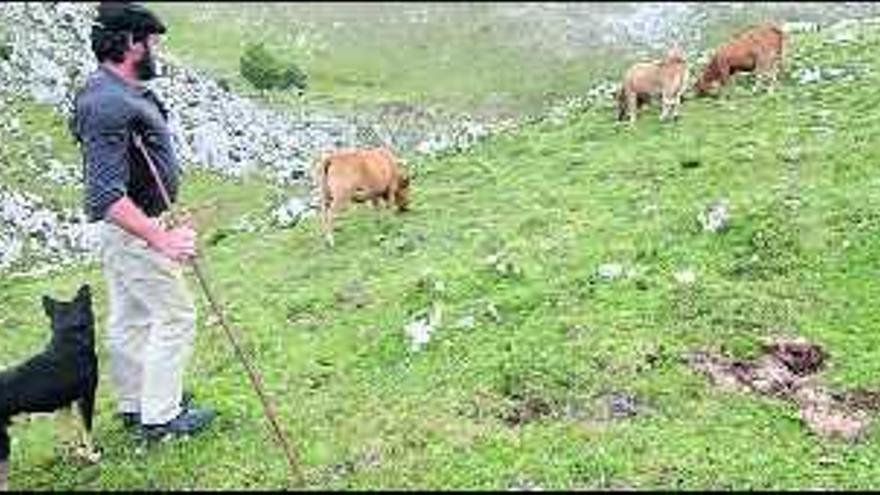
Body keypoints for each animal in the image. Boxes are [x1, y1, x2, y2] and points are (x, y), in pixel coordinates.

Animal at [0, 284, 100, 490]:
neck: (70, 341)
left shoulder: (64, 405)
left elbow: (69, 434)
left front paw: (76, 454)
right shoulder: (86, 397)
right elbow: (86, 430)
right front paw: (91, 455)